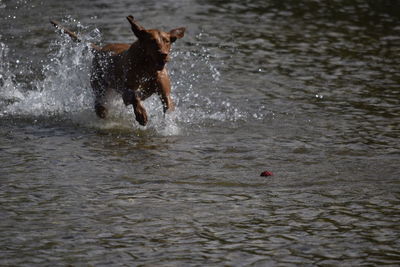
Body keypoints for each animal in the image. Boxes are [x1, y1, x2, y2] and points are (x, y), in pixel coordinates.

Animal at [50, 15, 186, 126]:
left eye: (167, 41)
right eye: (152, 41)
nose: (164, 54)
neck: (147, 69)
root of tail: (99, 49)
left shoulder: (165, 93)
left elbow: (168, 105)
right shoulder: (126, 92)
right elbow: (134, 97)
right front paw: (141, 114)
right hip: (99, 85)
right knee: (99, 102)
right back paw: (102, 111)